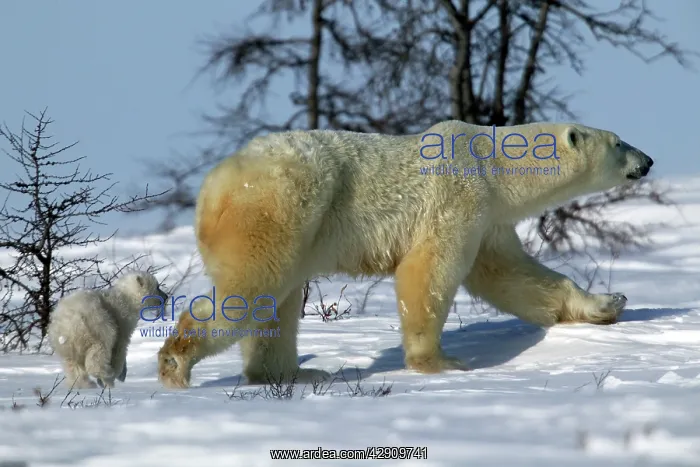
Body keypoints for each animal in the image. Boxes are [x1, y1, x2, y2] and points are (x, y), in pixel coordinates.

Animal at [156, 120, 654, 389]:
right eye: (618, 142)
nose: (647, 161)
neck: (493, 163)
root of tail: (214, 186)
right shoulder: (459, 195)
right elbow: (429, 270)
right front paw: (441, 363)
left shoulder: (490, 218)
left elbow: (511, 275)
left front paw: (608, 303)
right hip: (281, 206)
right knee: (251, 288)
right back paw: (176, 362)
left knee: (275, 304)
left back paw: (292, 374)